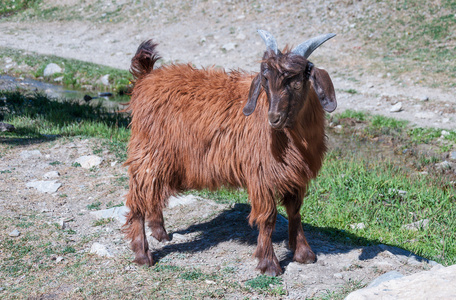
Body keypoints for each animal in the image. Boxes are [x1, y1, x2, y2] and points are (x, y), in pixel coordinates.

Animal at [123, 29, 336, 276]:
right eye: (265, 79)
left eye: (298, 82)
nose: (274, 118)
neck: (291, 138)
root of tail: (147, 78)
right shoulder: (260, 174)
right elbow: (268, 218)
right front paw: (269, 264)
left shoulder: (295, 174)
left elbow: (295, 211)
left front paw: (304, 254)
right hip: (149, 153)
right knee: (138, 199)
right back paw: (142, 254)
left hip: (165, 160)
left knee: (155, 194)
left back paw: (160, 233)